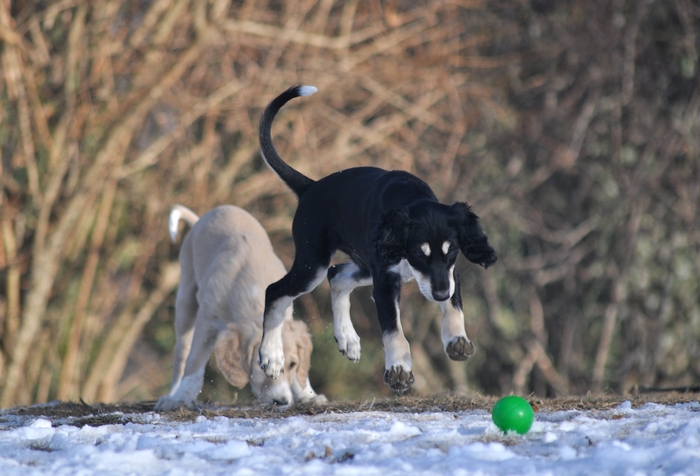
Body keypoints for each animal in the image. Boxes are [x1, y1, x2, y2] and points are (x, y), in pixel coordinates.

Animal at [156, 203, 322, 410]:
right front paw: (182, 397)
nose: (281, 402)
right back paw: (172, 395)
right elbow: (194, 361)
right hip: (186, 298)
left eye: (292, 364)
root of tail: (201, 219)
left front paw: (307, 394)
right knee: (182, 353)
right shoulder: (207, 320)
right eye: (260, 365)